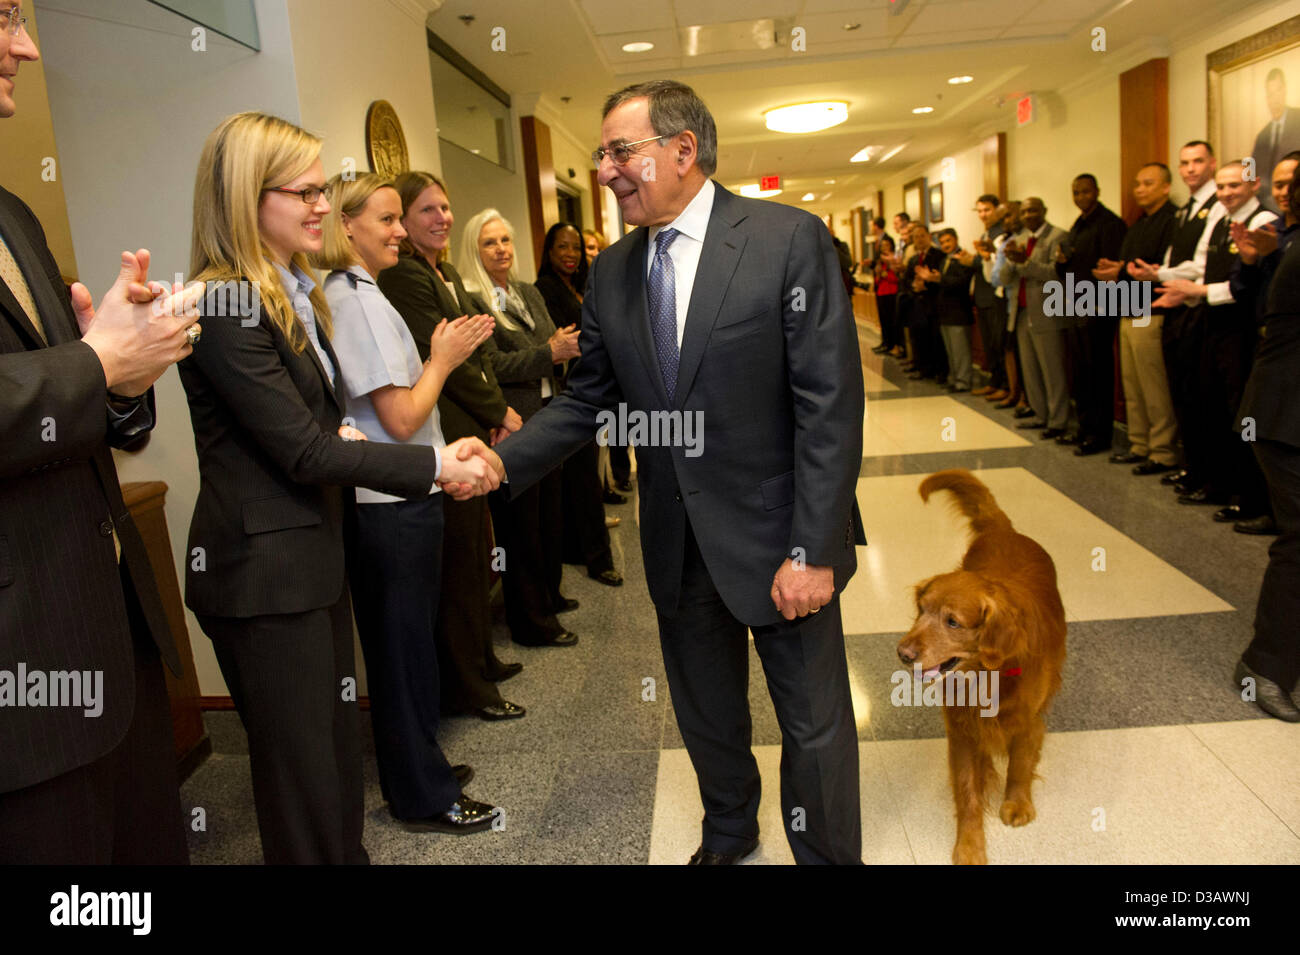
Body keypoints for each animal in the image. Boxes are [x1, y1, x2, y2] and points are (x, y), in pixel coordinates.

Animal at [894, 470, 1066, 867]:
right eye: (921, 610)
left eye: (953, 622)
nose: (903, 653)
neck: (987, 675)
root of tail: (1005, 529)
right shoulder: (962, 730)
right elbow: (968, 791)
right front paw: (970, 845)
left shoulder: (1028, 721)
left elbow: (1020, 763)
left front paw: (1017, 802)